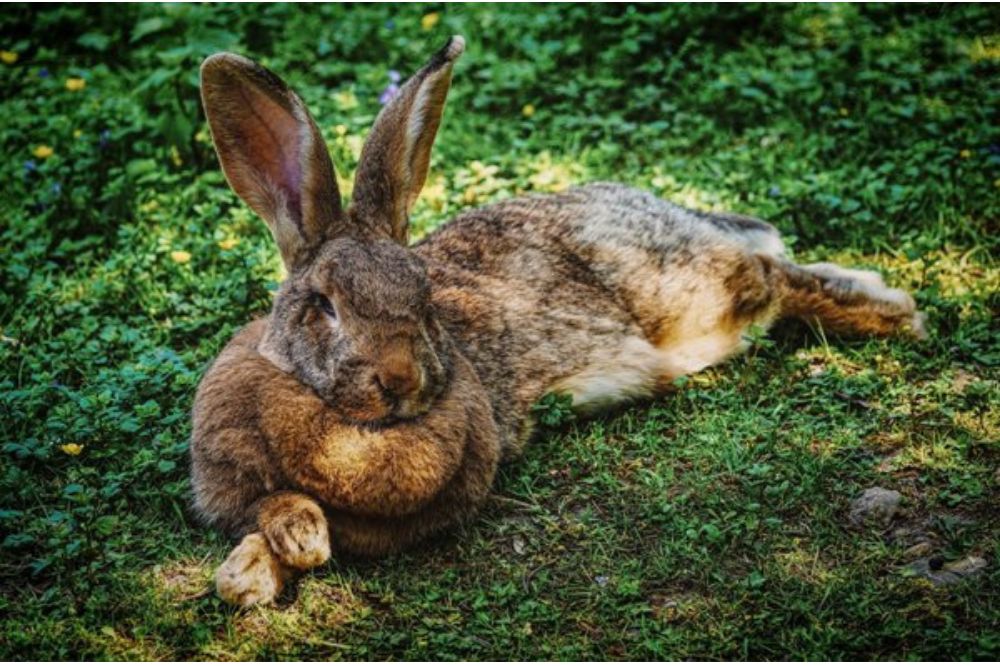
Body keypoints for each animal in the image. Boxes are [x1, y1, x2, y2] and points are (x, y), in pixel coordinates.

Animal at [191, 36, 924, 608]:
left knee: (773, 277)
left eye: (424, 297)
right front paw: (256, 567)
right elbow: (267, 519)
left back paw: (892, 313)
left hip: (689, 294)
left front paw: (272, 558)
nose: (399, 381)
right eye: (324, 305)